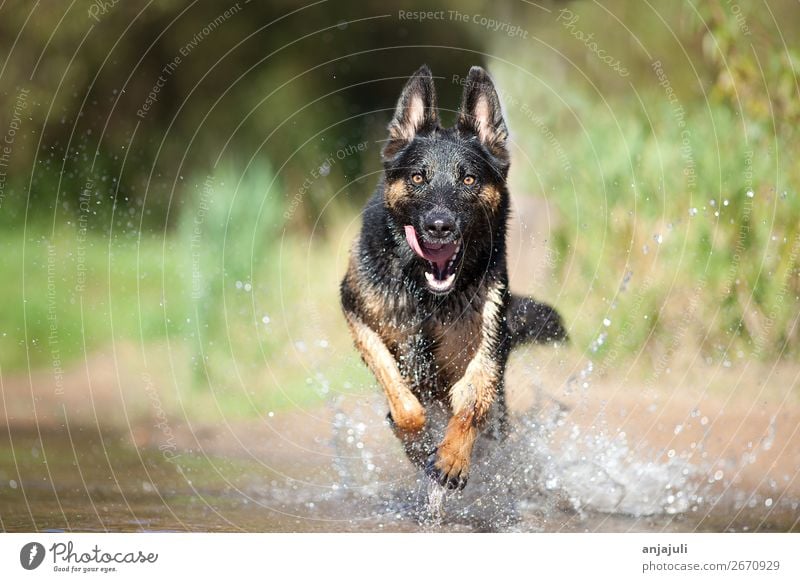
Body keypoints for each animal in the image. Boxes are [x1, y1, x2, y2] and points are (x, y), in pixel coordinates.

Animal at [340, 65, 564, 492]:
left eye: (469, 180)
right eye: (417, 178)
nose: (439, 227)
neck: (427, 296)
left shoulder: (486, 347)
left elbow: (472, 403)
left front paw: (452, 458)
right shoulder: (357, 313)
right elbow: (401, 396)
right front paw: (414, 437)